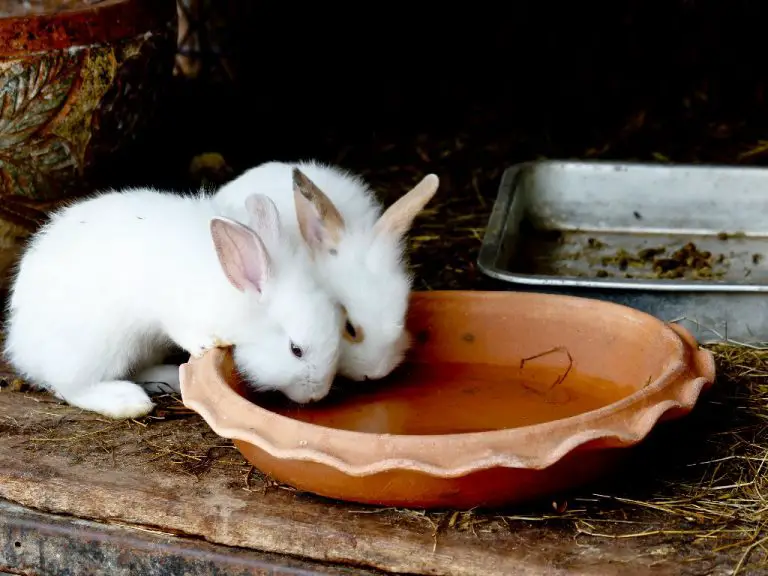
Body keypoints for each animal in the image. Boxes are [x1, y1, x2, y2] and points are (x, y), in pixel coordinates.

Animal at [3, 189, 342, 418]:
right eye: (296, 350)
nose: (317, 395)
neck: (236, 298)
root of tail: (21, 346)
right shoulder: (177, 311)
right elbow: (184, 330)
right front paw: (207, 345)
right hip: (98, 347)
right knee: (72, 386)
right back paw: (128, 402)